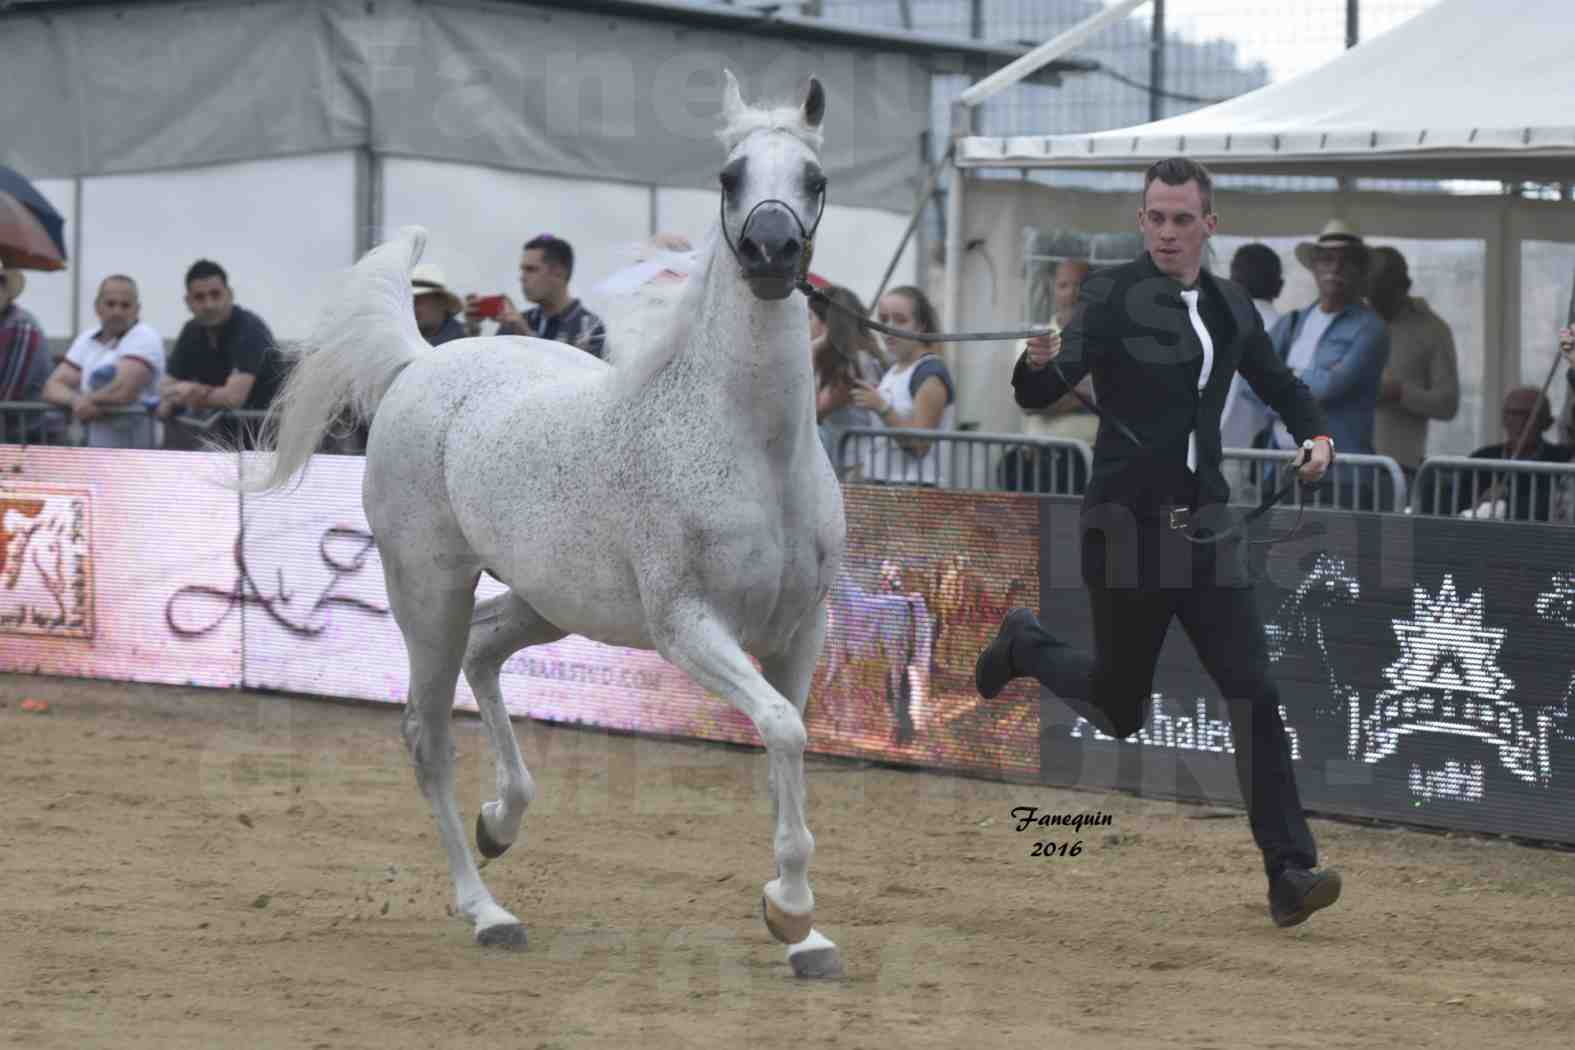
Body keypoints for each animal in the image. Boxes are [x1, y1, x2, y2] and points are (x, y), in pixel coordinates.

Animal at [247, 72, 856, 976]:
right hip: (428, 593)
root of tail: (423, 360)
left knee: (483, 653)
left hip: (544, 600)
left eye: (813, 179)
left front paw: (804, 933)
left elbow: (792, 739)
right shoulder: (687, 627)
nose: (772, 253)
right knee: (427, 735)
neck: (755, 446)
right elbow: (782, 729)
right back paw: (486, 910)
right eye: (729, 176)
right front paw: (789, 910)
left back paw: (501, 822)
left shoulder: (798, 629)